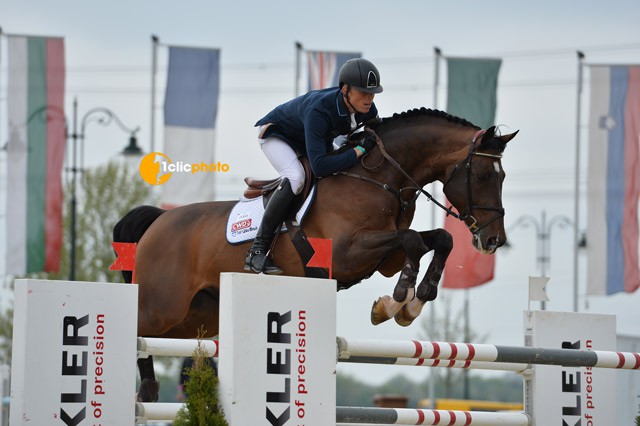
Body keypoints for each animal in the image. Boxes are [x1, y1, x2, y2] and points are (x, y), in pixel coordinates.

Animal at [114, 106, 516, 400]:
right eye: (483, 175)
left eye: (503, 177)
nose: (494, 240)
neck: (380, 177)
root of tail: (158, 222)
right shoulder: (348, 252)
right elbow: (414, 242)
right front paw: (399, 301)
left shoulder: (385, 258)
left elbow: (435, 240)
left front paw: (410, 302)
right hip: (163, 306)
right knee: (138, 329)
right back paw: (145, 388)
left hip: (198, 313)